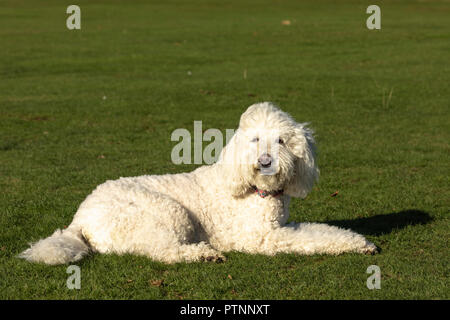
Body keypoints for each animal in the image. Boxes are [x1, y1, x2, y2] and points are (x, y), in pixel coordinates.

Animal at [19, 102, 378, 264]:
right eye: (254, 140)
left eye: (281, 141)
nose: (265, 161)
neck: (254, 190)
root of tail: (79, 218)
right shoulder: (262, 239)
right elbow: (310, 239)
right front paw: (356, 243)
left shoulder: (278, 227)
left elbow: (320, 231)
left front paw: (358, 241)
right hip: (165, 213)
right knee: (162, 251)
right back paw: (203, 255)